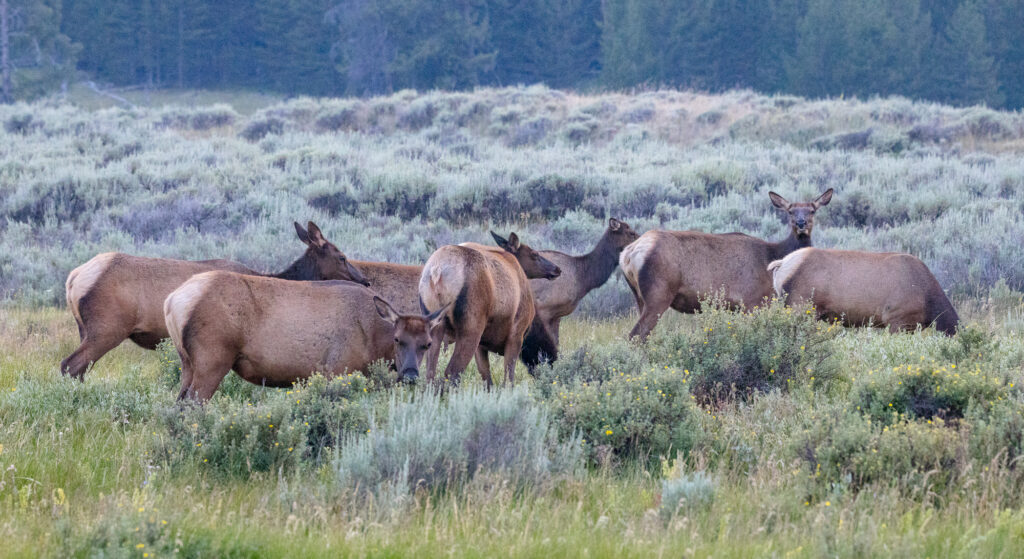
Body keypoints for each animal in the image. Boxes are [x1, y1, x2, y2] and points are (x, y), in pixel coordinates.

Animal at [60, 221, 369, 380]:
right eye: (342, 257)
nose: (365, 280)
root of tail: (73, 278)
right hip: (107, 328)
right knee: (70, 365)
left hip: (84, 328)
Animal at [165, 272, 448, 401]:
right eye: (398, 339)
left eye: (427, 344)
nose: (410, 375)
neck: (374, 343)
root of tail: (172, 300)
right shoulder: (337, 369)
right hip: (212, 358)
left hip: (187, 362)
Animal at [418, 232, 561, 388]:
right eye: (534, 254)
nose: (557, 269)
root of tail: (437, 271)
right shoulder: (517, 333)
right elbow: (508, 379)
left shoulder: (482, 345)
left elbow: (487, 379)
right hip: (471, 327)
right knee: (452, 372)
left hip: (435, 324)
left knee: (430, 373)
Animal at [619, 189, 833, 340]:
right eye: (790, 211)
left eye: (812, 210)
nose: (801, 223)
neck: (773, 257)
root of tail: (627, 254)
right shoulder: (752, 301)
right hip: (658, 293)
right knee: (635, 336)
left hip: (639, 297)